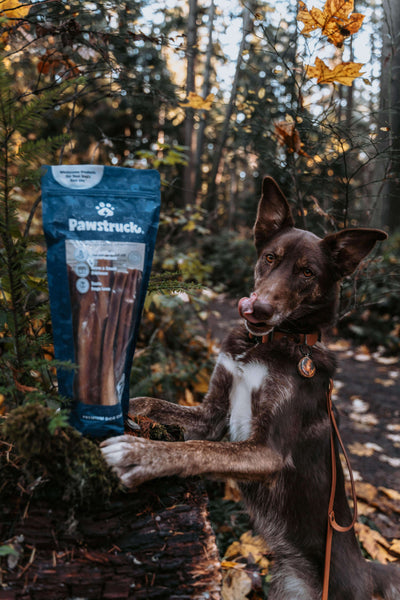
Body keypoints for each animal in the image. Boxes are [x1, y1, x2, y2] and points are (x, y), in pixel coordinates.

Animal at [101, 178, 398, 600]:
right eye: (270, 258)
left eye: (308, 272)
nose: (257, 310)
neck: (265, 345)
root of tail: (369, 573)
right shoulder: (210, 413)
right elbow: (153, 404)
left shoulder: (267, 451)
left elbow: (199, 450)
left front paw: (141, 454)